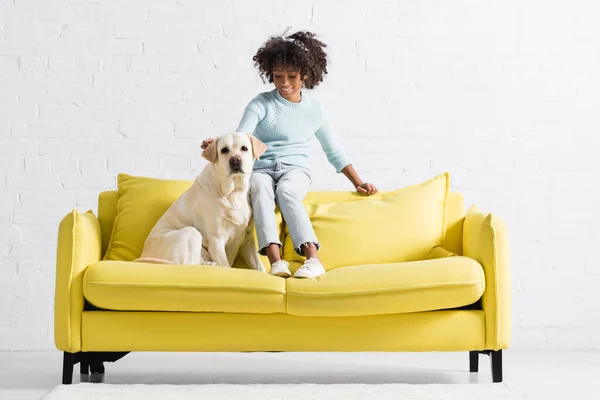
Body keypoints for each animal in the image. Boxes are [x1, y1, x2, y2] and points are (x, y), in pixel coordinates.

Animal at [136, 131, 270, 272]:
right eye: (224, 150)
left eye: (244, 148)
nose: (235, 160)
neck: (233, 192)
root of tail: (143, 257)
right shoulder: (216, 240)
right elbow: (226, 266)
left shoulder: (247, 240)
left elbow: (259, 268)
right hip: (190, 232)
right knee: (188, 264)